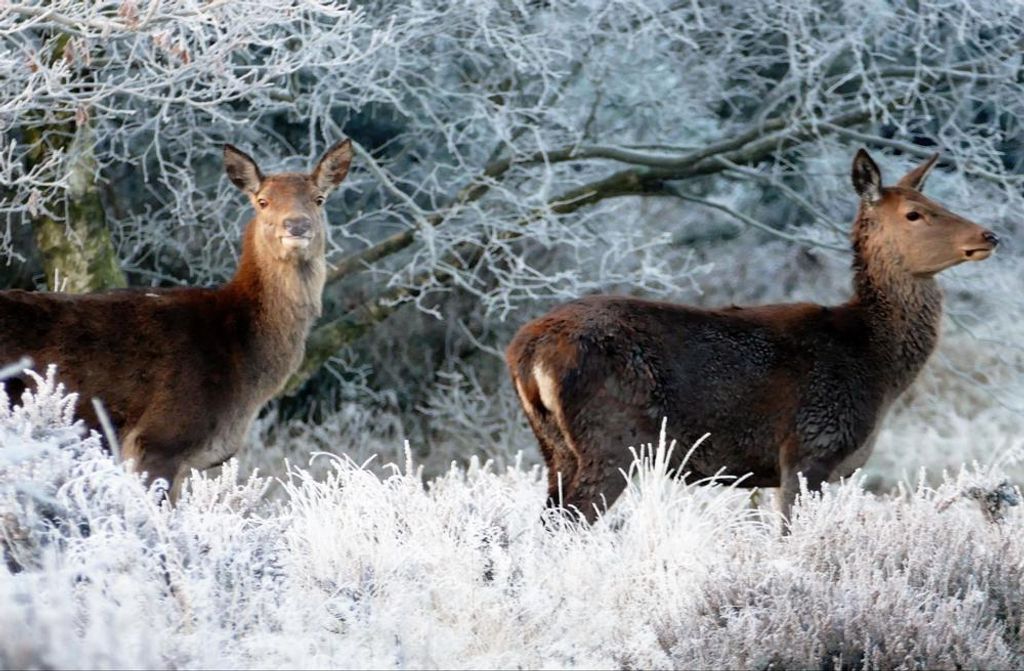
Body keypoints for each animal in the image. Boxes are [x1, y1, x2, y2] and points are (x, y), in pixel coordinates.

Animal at [506, 149, 1000, 524]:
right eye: (915, 213)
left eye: (936, 200)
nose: (988, 234)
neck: (877, 367)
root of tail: (526, 352)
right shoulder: (809, 448)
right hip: (612, 439)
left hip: (554, 447)